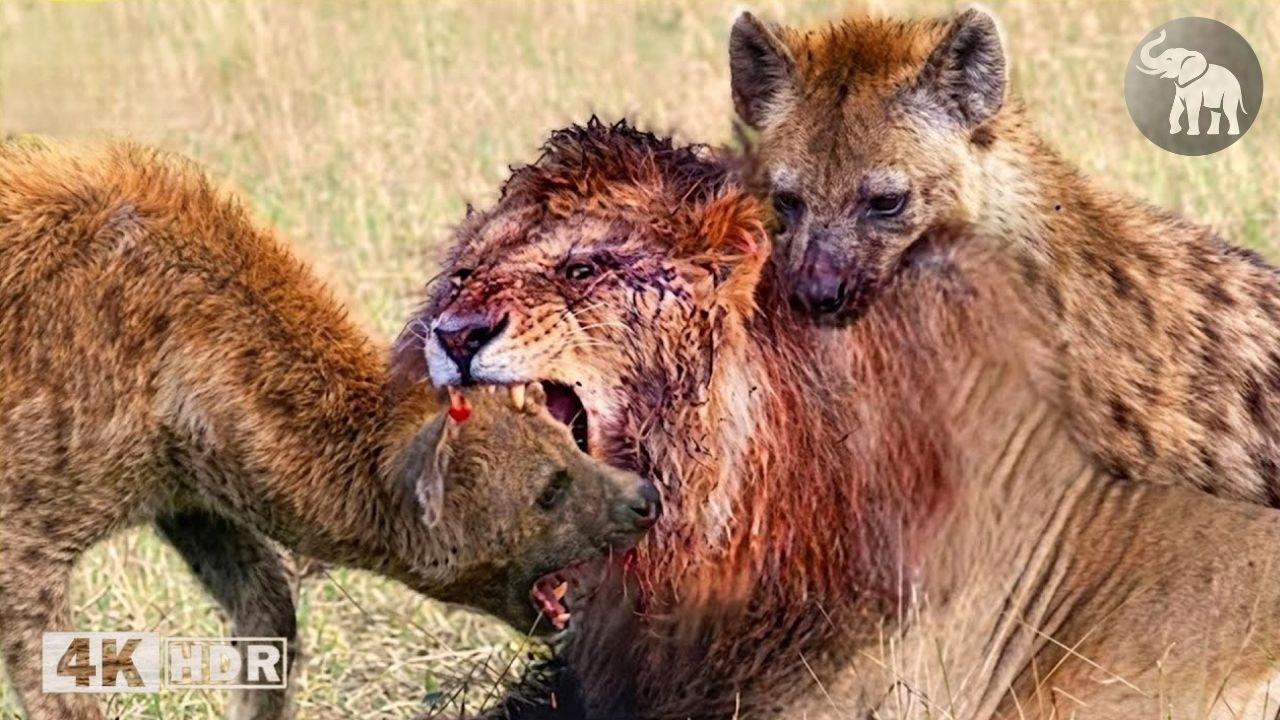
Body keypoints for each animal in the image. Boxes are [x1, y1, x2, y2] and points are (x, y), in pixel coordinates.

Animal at [0, 142, 658, 720]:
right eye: (549, 491)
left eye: (574, 444)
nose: (645, 497)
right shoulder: (26, 529)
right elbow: (60, 681)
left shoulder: (192, 488)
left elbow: (269, 604)